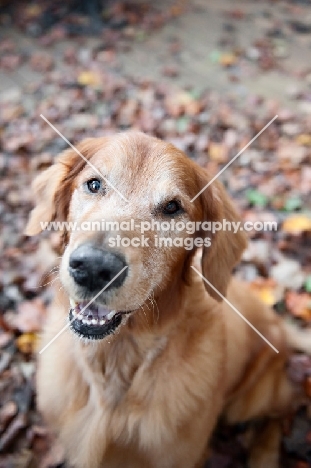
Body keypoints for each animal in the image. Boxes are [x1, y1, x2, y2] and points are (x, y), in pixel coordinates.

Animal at [26, 132, 310, 468]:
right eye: (94, 184)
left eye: (172, 207)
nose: (94, 268)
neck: (117, 358)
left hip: (250, 400)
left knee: (286, 405)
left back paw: (264, 453)